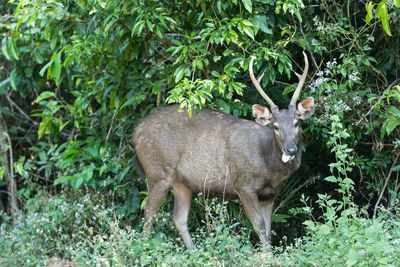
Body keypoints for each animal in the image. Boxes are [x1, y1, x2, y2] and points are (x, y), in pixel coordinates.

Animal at [134, 51, 316, 249]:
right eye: (275, 126)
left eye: (296, 123)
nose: (290, 149)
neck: (269, 168)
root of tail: (135, 133)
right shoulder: (243, 185)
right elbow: (260, 227)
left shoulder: (270, 194)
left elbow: (269, 232)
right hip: (157, 172)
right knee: (148, 212)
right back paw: (145, 249)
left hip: (182, 182)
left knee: (178, 217)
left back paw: (194, 251)